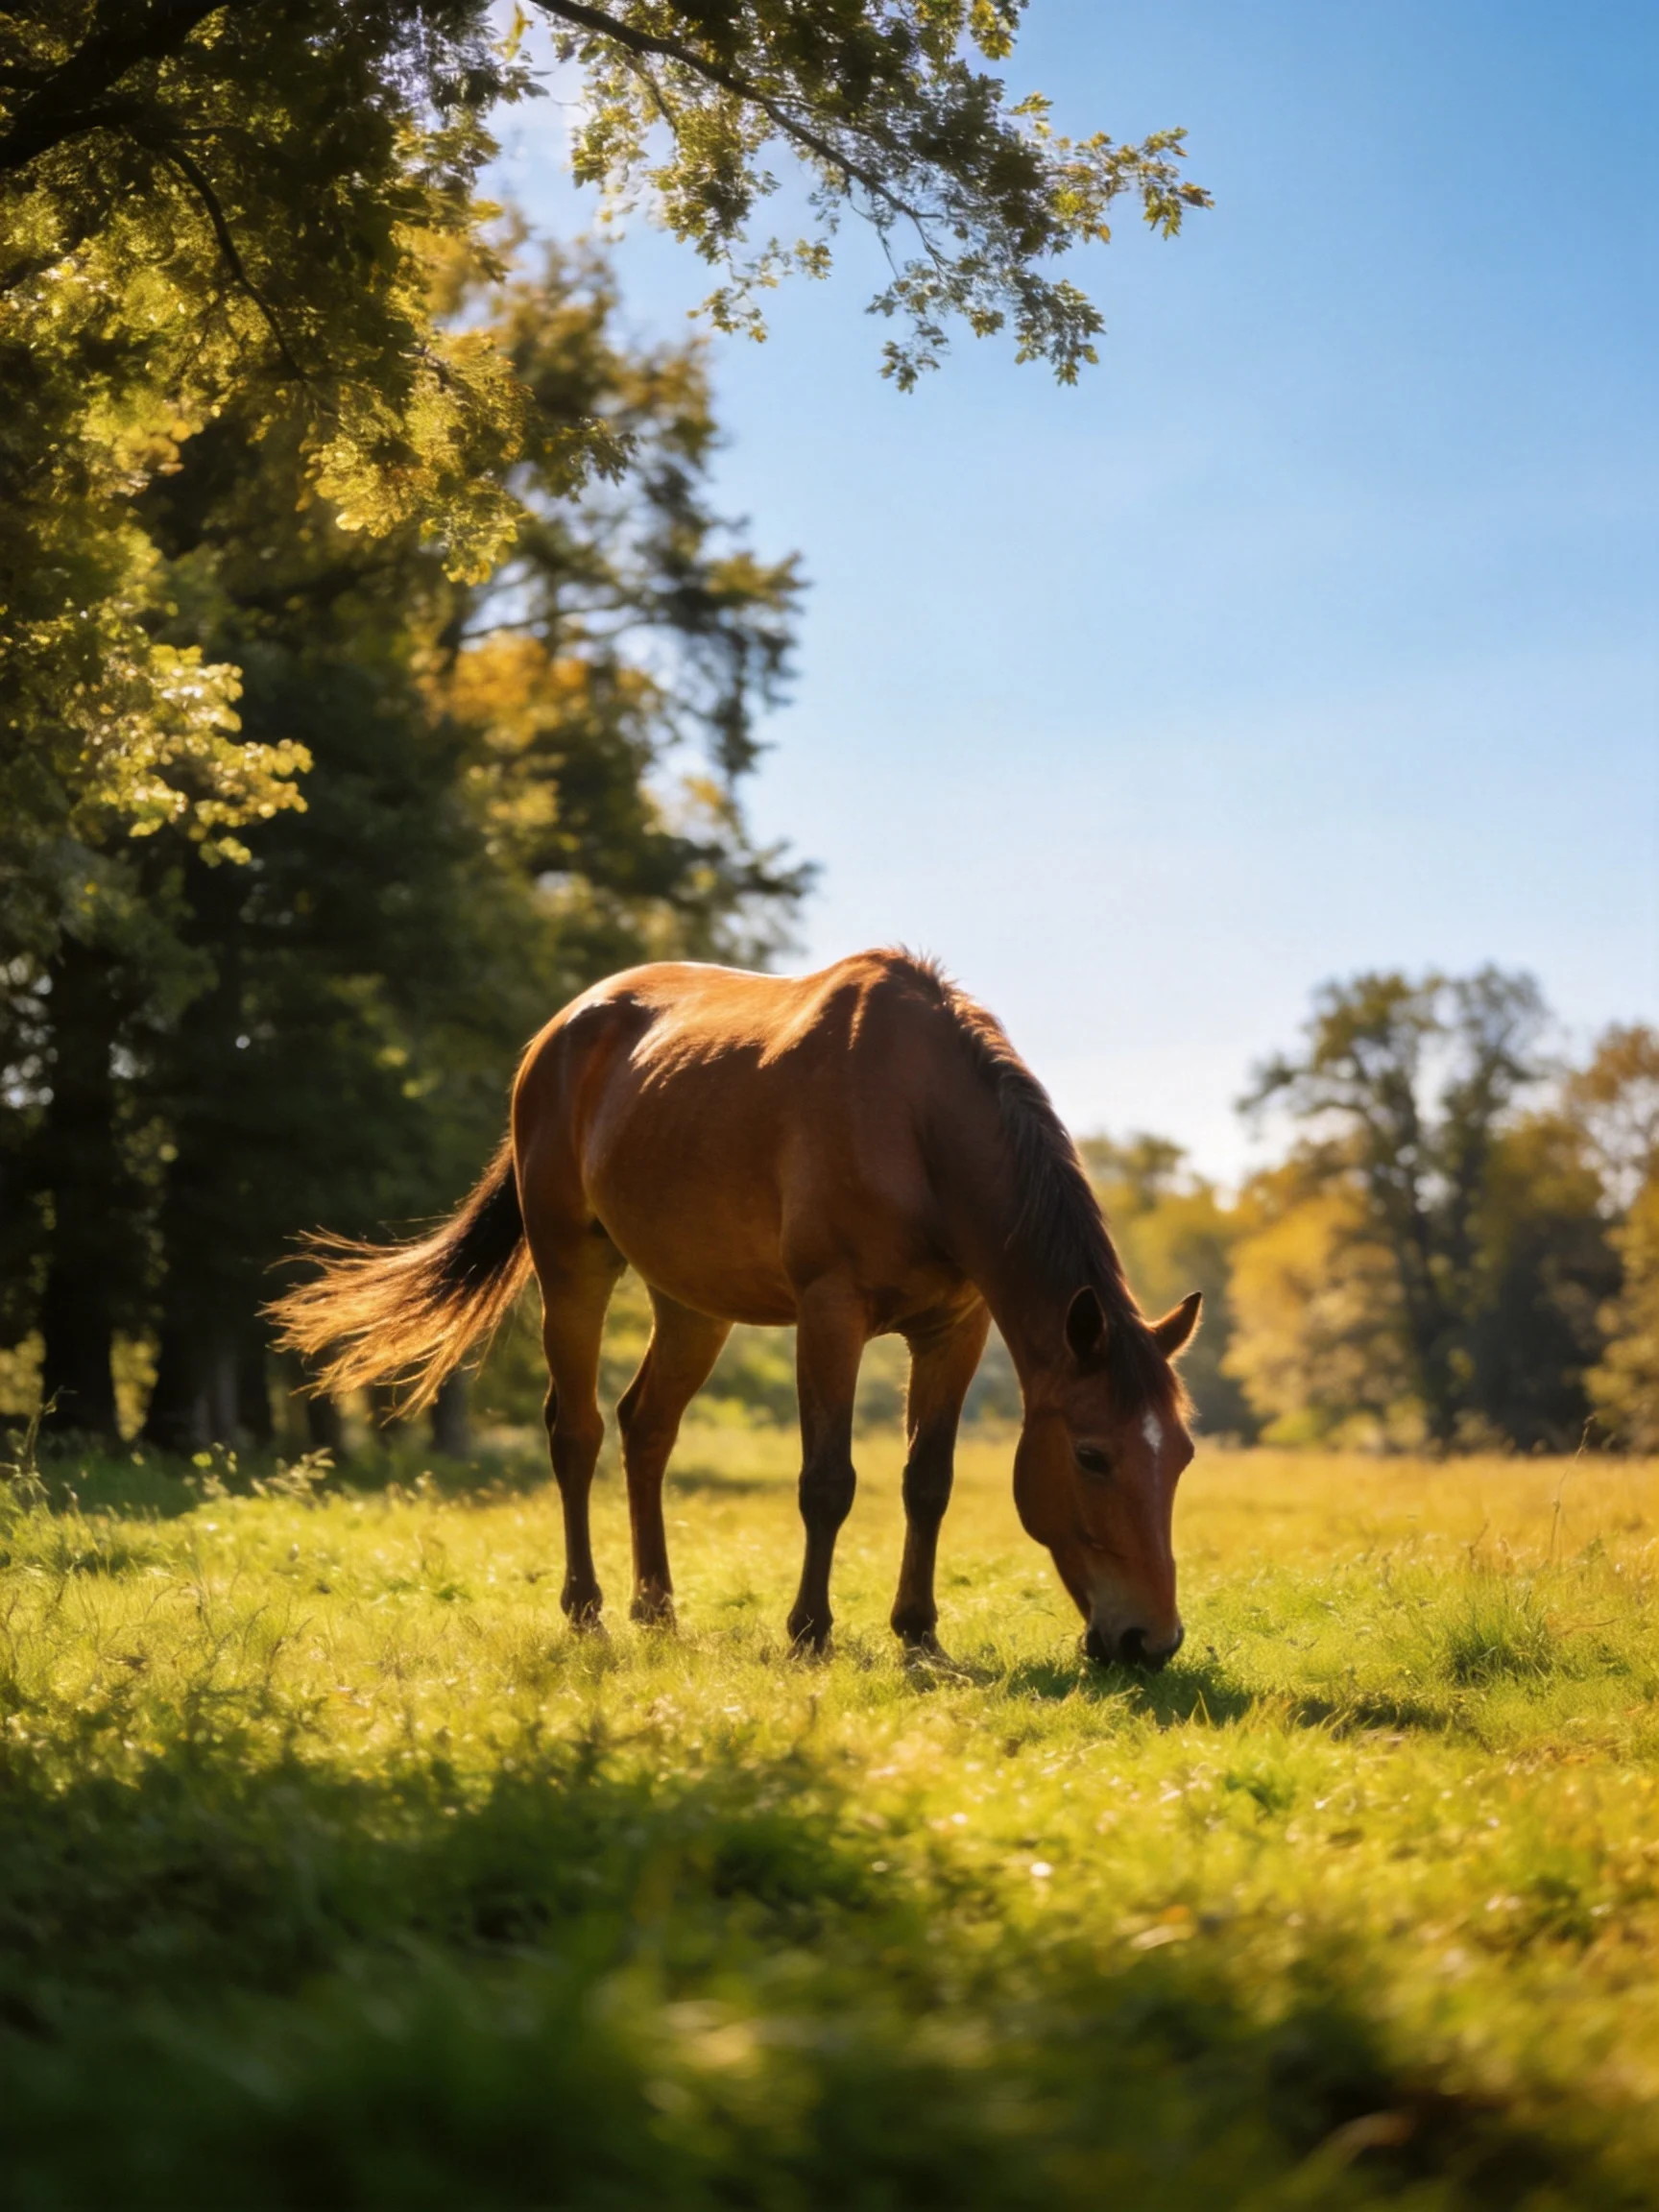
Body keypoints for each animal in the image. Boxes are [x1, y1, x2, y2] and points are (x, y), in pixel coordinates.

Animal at [270, 950, 1202, 1666]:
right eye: (1091, 1456)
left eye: (1184, 1456)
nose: (1150, 1642)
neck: (916, 1123)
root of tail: (559, 1032)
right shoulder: (831, 1314)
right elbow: (828, 1482)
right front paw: (810, 1633)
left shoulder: (955, 1330)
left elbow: (926, 1482)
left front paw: (919, 1635)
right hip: (574, 1270)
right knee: (577, 1433)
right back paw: (588, 1612)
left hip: (692, 1307)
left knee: (645, 1428)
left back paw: (657, 1609)